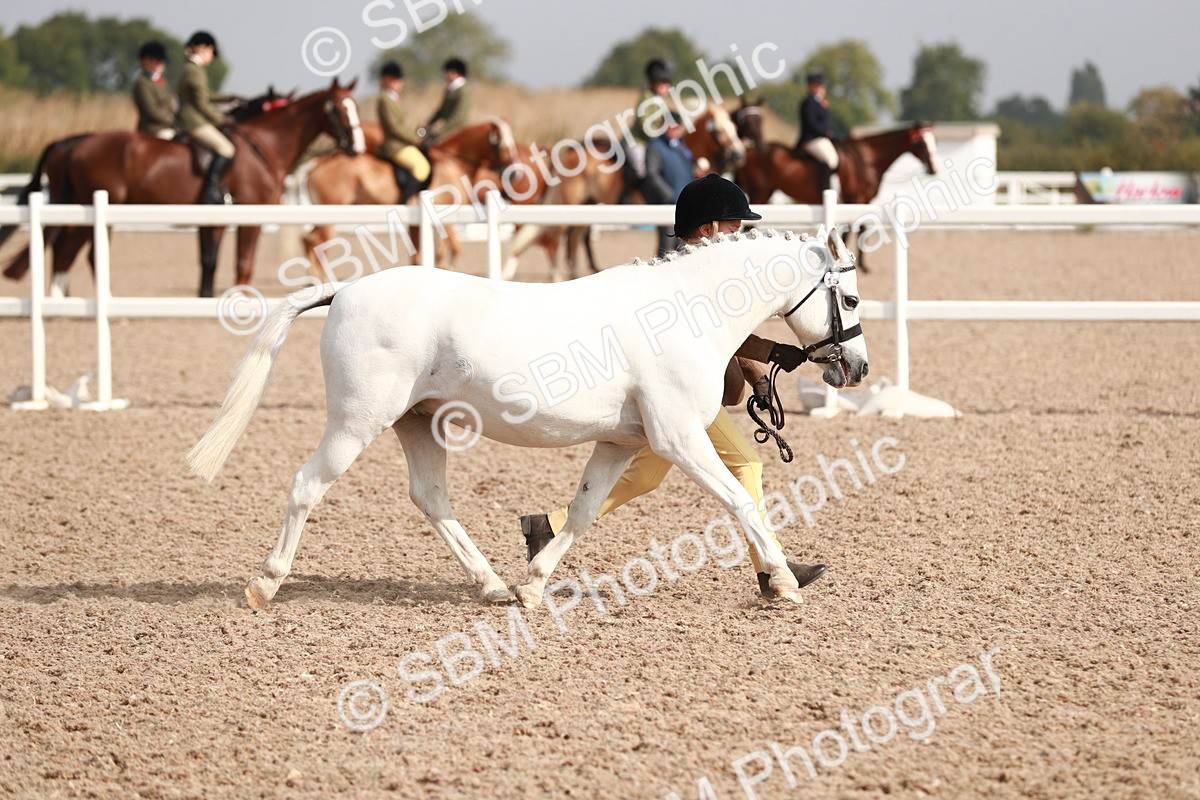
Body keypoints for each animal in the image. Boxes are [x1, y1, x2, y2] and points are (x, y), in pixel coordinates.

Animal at [1, 79, 364, 297]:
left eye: (355, 106)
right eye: (339, 109)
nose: (357, 147)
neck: (263, 145)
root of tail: (73, 143)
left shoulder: (212, 219)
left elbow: (209, 261)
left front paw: (207, 295)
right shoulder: (249, 214)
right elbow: (242, 262)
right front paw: (239, 297)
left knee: (66, 251)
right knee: (78, 252)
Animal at [186, 226, 869, 610]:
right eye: (853, 297)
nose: (856, 367)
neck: (680, 312)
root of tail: (346, 290)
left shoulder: (621, 443)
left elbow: (586, 510)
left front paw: (533, 586)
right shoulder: (678, 439)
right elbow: (738, 500)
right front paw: (784, 583)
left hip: (417, 422)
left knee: (431, 497)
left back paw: (492, 586)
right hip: (357, 422)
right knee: (308, 485)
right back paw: (264, 587)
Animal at [300, 118, 518, 272]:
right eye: (502, 145)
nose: (514, 173)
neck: (453, 163)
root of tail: (317, 163)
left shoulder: (419, 223)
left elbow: (422, 255)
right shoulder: (443, 218)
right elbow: (454, 248)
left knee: (308, 242)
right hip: (330, 216)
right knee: (315, 246)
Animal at [736, 122, 939, 271]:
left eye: (934, 141)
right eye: (921, 143)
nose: (934, 168)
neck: (866, 160)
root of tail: (748, 152)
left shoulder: (863, 201)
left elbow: (860, 228)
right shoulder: (855, 199)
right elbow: (852, 230)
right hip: (760, 193)